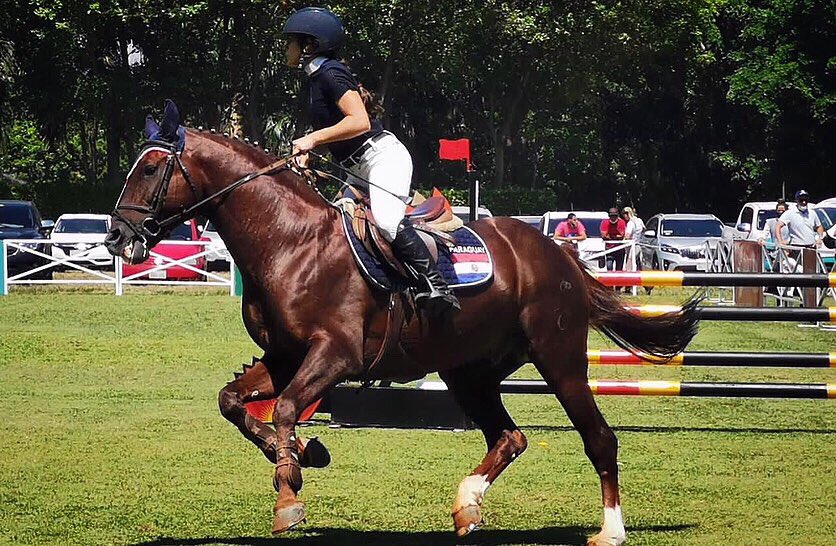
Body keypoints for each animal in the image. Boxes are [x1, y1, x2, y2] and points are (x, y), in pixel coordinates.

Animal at [104, 103, 700, 544]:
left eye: (151, 169)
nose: (116, 238)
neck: (288, 241)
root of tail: (560, 256)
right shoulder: (285, 356)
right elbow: (235, 404)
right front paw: (302, 455)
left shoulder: (335, 355)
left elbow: (290, 408)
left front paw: (291, 490)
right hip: (470, 371)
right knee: (509, 437)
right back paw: (467, 506)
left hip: (559, 359)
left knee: (599, 439)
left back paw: (611, 531)